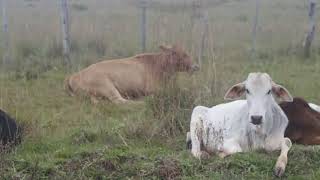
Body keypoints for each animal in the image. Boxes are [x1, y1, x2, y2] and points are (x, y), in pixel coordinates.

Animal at [64, 45, 199, 103]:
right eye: (184, 54)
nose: (196, 66)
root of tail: (74, 76)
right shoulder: (154, 89)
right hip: (106, 86)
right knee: (120, 101)